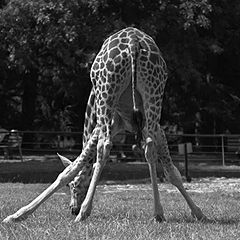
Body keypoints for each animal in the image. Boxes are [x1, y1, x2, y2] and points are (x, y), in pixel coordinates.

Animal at [2, 26, 207, 223]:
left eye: (73, 186)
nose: (72, 208)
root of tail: (133, 42)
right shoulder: (153, 127)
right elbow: (170, 170)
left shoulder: (101, 126)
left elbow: (70, 170)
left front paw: (16, 215)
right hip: (153, 96)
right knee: (148, 146)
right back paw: (157, 213)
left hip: (108, 95)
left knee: (105, 146)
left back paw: (84, 213)